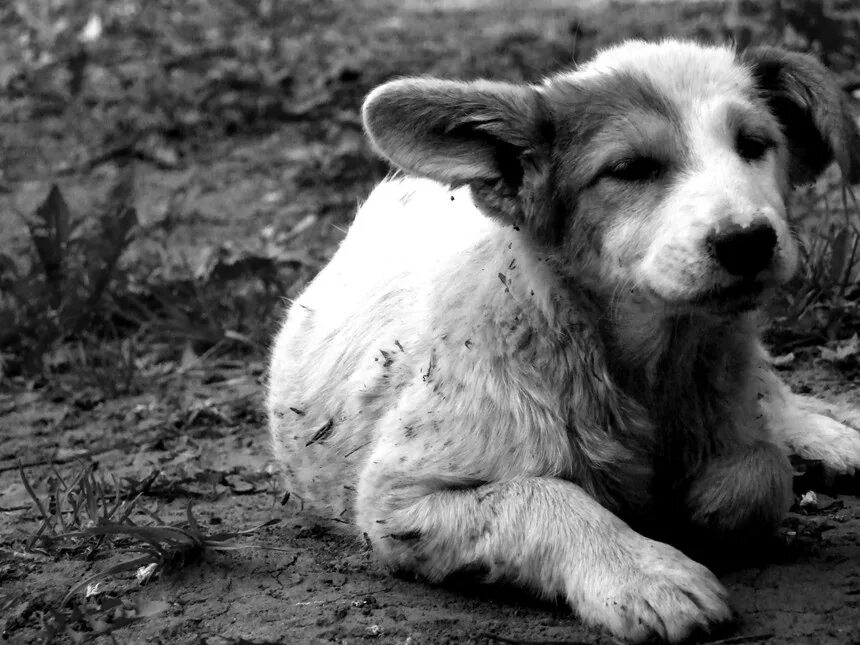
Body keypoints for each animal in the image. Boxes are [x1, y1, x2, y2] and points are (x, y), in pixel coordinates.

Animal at [268, 39, 860, 640]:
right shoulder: (397, 499)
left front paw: (707, 500)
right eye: (630, 169)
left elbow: (758, 474)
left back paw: (833, 440)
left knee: (771, 393)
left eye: (754, 146)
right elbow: (543, 496)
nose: (748, 241)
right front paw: (645, 574)